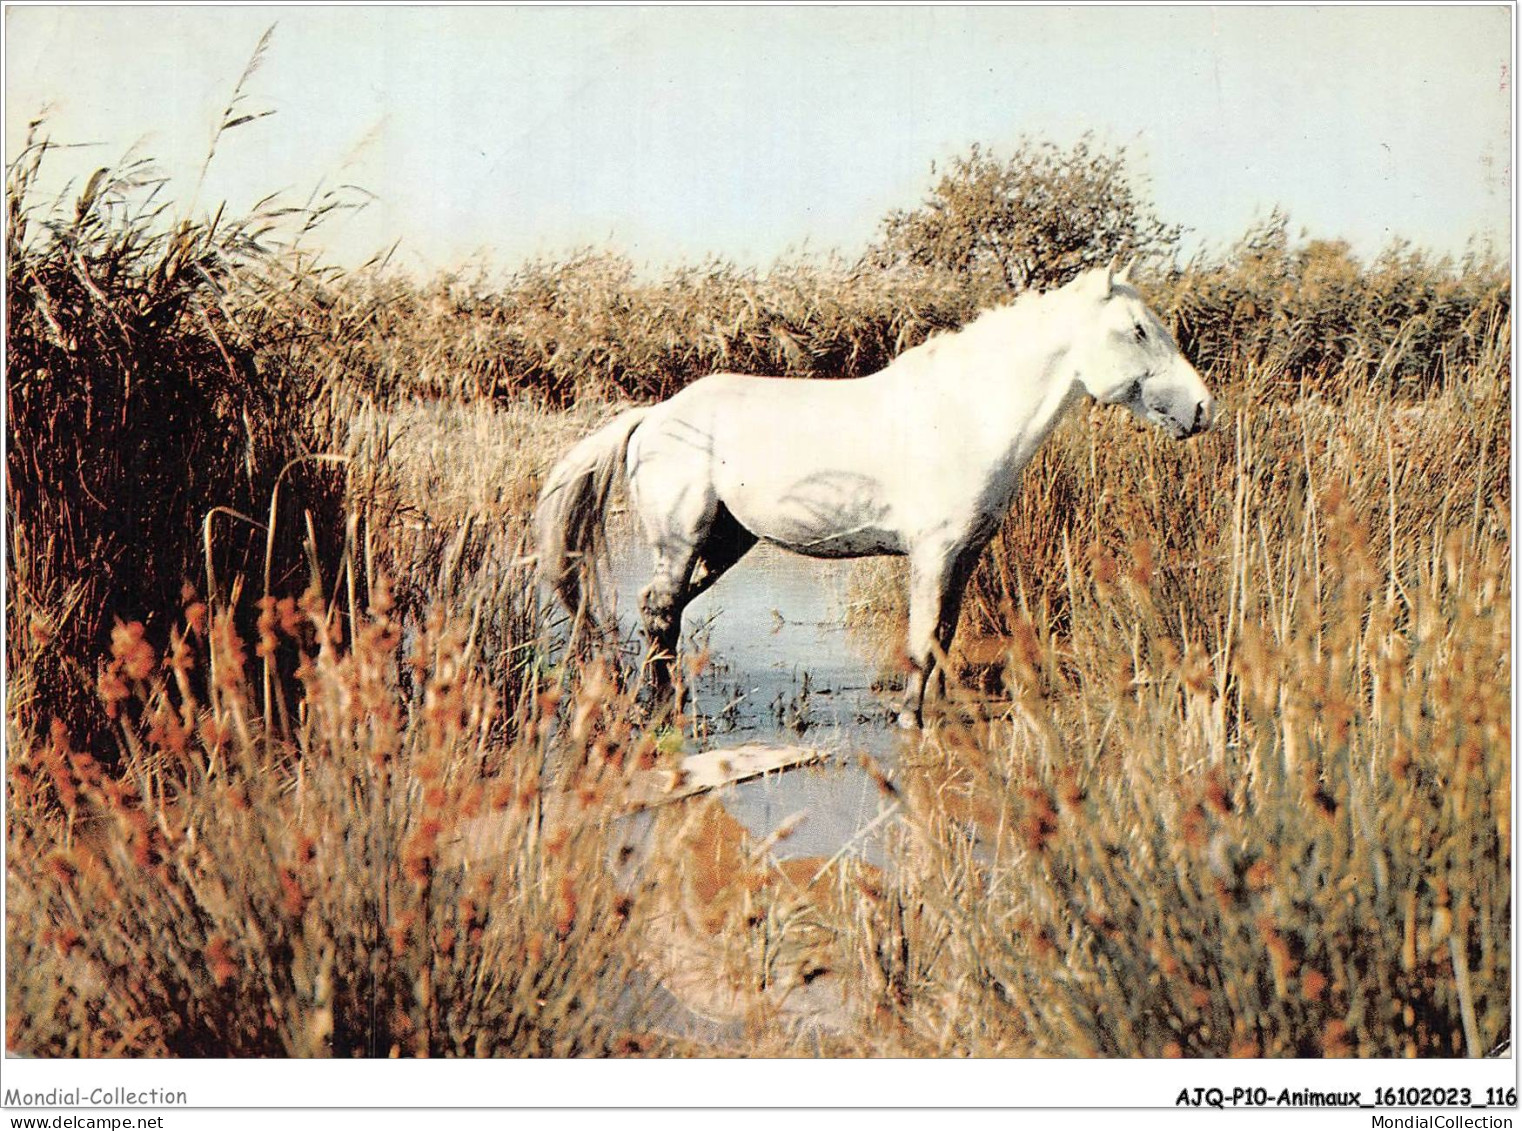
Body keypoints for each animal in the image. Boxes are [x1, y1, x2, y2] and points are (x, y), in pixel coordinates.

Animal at [535, 260, 1211, 724]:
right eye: (1138, 330)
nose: (1202, 409)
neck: (966, 413)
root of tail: (653, 416)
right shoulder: (933, 554)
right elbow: (920, 642)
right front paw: (910, 719)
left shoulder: (964, 556)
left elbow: (942, 637)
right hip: (681, 541)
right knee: (658, 612)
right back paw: (662, 706)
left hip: (725, 544)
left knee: (667, 614)